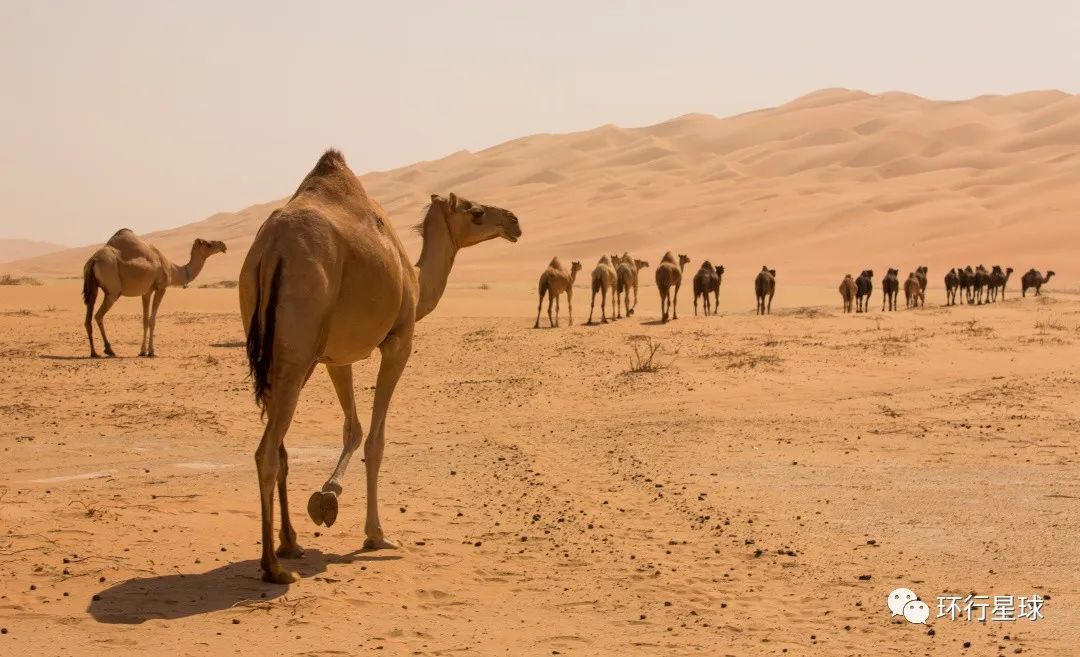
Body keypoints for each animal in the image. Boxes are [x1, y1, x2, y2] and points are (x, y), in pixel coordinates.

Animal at [80, 228, 225, 356]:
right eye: (208, 244)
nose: (223, 245)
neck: (173, 270)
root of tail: (93, 260)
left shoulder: (146, 291)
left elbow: (145, 320)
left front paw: (142, 351)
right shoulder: (161, 287)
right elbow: (152, 320)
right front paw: (152, 352)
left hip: (93, 288)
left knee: (88, 317)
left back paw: (94, 353)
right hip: (113, 291)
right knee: (98, 315)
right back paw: (109, 350)